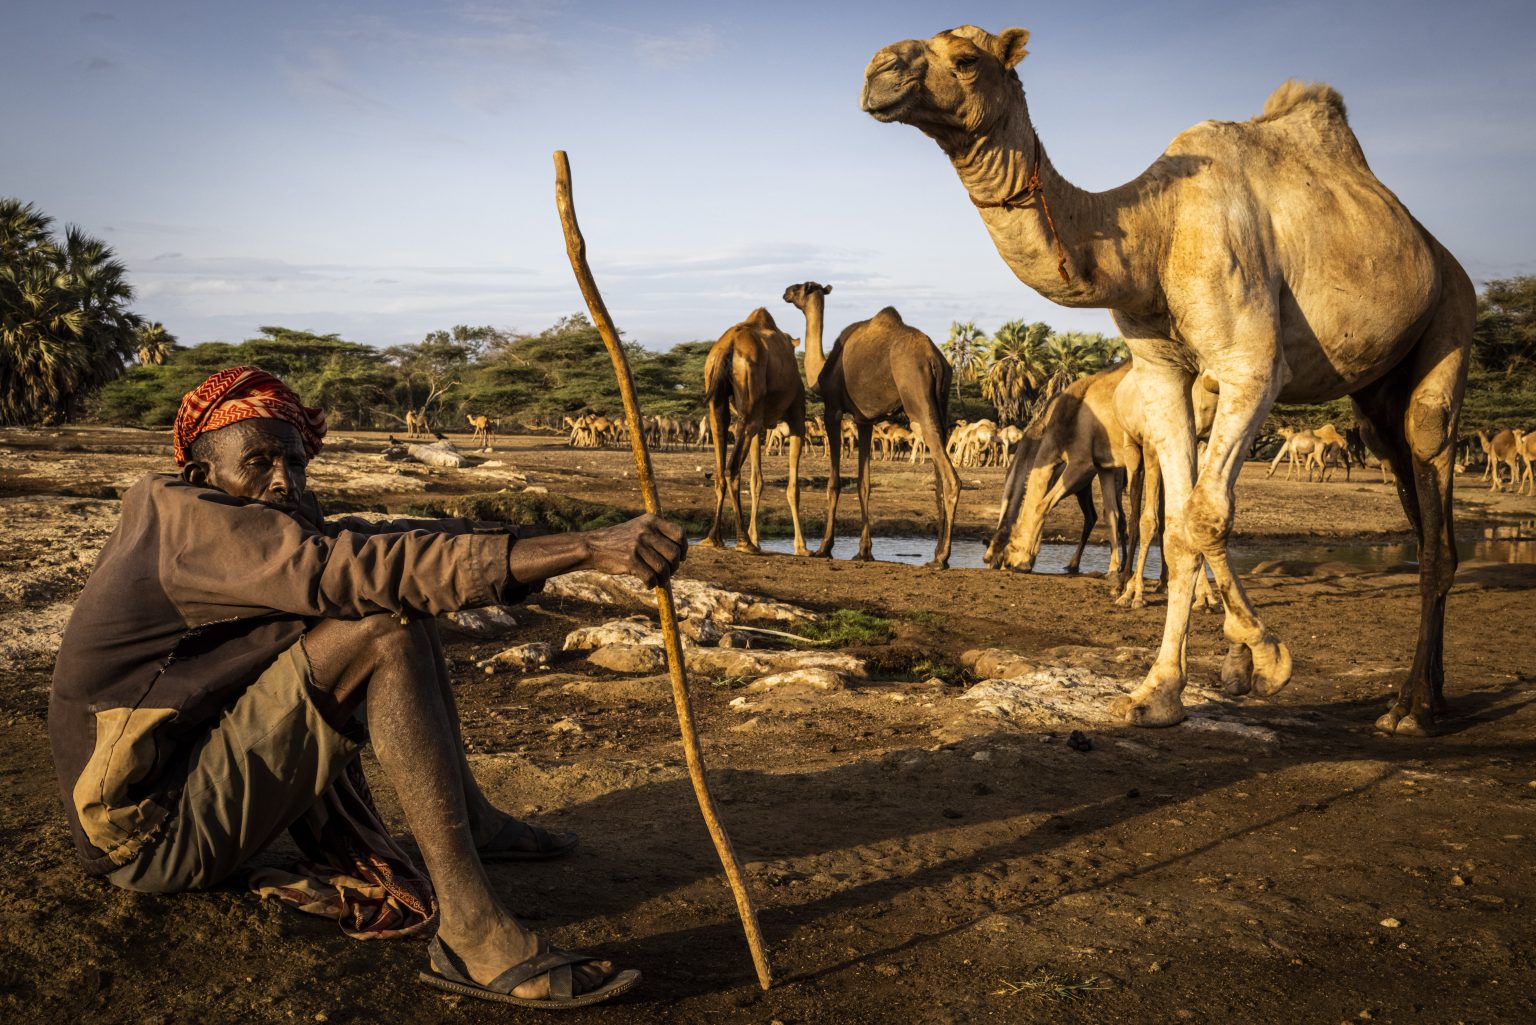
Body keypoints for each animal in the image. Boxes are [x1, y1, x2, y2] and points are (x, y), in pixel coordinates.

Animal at [698, 308, 808, 555]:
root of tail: (726, 348)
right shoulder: (797, 418)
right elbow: (793, 488)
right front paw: (802, 547)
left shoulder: (760, 424)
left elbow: (757, 480)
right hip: (750, 398)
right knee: (731, 469)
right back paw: (743, 541)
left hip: (718, 399)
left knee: (720, 466)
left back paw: (713, 538)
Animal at [783, 282, 961, 568]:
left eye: (802, 287)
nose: (786, 291)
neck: (822, 372)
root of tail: (935, 360)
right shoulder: (864, 420)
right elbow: (864, 484)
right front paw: (864, 551)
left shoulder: (832, 410)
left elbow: (834, 483)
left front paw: (824, 547)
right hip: (940, 403)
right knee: (939, 478)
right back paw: (937, 554)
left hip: (917, 397)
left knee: (950, 478)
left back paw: (941, 558)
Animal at [865, 26, 1473, 734]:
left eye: (964, 60)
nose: (877, 71)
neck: (1156, 230)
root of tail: (1443, 256)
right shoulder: (1160, 371)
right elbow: (1179, 521)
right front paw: (1160, 691)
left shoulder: (1250, 366)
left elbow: (1202, 516)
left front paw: (1264, 657)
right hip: (1376, 392)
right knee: (1409, 488)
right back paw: (1429, 694)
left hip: (1450, 315)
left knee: (1431, 461)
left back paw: (1412, 707)